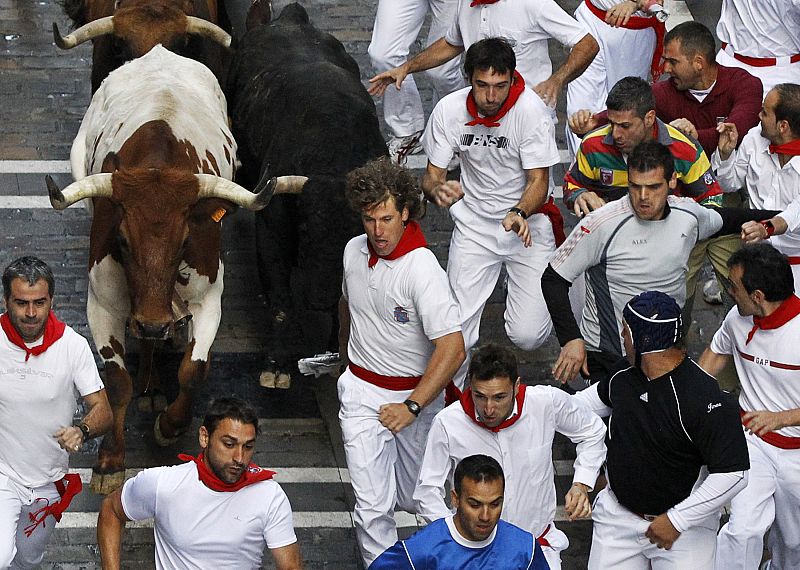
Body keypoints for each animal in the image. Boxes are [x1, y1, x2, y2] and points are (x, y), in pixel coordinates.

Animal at [48, 44, 306, 490]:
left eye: (186, 239)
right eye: (121, 239)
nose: (152, 322)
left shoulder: (209, 299)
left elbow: (193, 371)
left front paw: (170, 426)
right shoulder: (103, 303)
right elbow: (116, 382)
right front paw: (110, 460)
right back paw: (151, 381)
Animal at [225, 2, 388, 380]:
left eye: (360, 234)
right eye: (304, 228)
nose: (319, 297)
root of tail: (291, 16)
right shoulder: (271, 230)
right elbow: (281, 301)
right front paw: (276, 365)